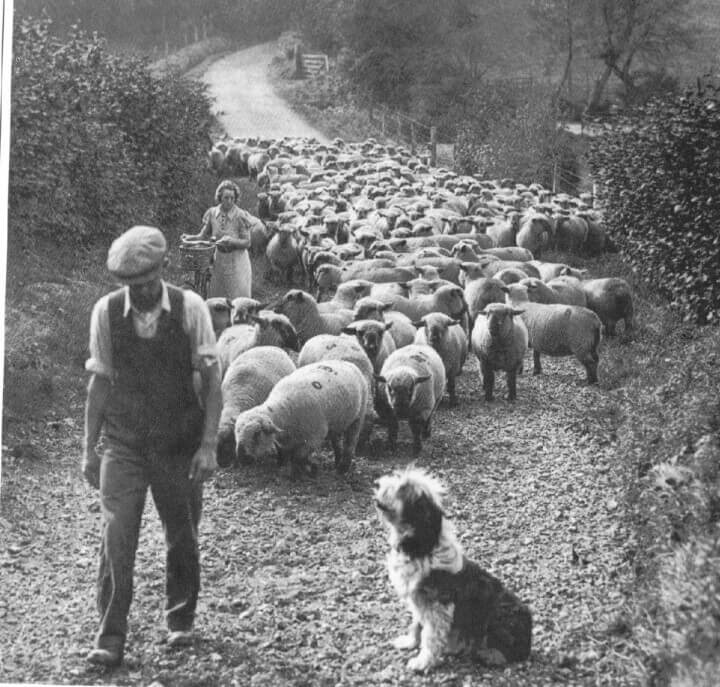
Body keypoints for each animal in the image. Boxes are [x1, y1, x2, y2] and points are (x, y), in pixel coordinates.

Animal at [235, 358, 372, 476]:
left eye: (257, 433)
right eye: (236, 432)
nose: (241, 457)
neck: (284, 409)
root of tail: (345, 362)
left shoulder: (315, 436)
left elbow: (298, 457)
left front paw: (307, 469)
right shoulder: (284, 438)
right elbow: (283, 451)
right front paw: (282, 465)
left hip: (358, 416)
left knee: (351, 442)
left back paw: (343, 468)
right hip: (337, 421)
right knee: (336, 441)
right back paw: (337, 462)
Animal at [374, 468, 532, 672]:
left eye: (403, 487)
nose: (377, 483)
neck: (423, 548)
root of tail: (529, 640)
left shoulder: (437, 608)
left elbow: (430, 638)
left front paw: (422, 662)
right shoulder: (419, 600)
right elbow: (416, 625)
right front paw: (409, 642)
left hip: (499, 616)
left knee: (507, 652)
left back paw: (487, 654)